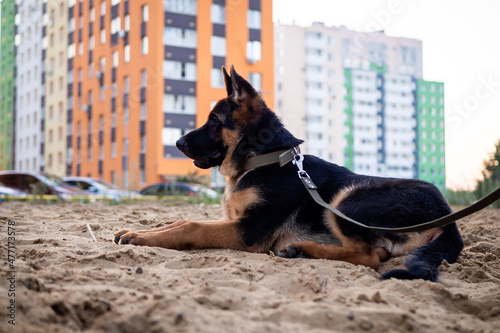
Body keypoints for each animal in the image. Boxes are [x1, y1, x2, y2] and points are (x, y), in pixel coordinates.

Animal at [114, 65, 464, 280]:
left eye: (214, 121)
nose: (177, 142)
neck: (262, 158)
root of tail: (447, 216)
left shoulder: (249, 230)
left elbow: (191, 226)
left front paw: (143, 237)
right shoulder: (234, 220)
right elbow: (179, 221)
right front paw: (140, 231)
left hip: (346, 200)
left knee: (369, 256)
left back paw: (304, 250)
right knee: (371, 251)